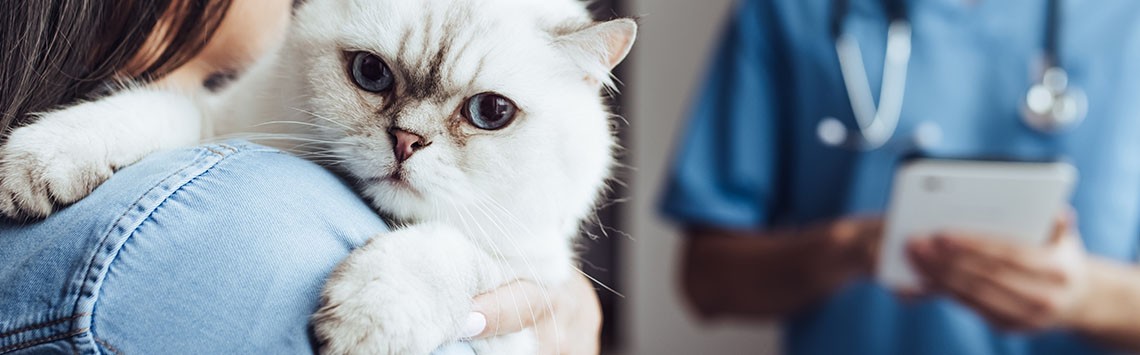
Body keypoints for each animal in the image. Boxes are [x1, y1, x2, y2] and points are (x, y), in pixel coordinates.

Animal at [0, 0, 638, 353]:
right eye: (371, 73)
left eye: (490, 112)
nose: (406, 142)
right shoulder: (224, 122)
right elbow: (150, 109)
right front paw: (33, 167)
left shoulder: (529, 276)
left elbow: (445, 253)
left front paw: (361, 320)